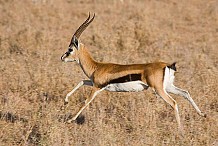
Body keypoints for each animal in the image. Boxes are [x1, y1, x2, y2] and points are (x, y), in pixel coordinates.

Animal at [60, 13, 205, 133]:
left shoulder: (97, 87)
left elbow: (85, 101)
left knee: (174, 102)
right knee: (185, 93)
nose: (62, 58)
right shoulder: (93, 82)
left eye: (70, 49)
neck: (96, 67)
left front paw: (70, 120)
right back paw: (202, 114)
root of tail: (166, 65)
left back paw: (181, 131)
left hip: (159, 90)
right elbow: (81, 81)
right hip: (168, 87)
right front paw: (66, 101)